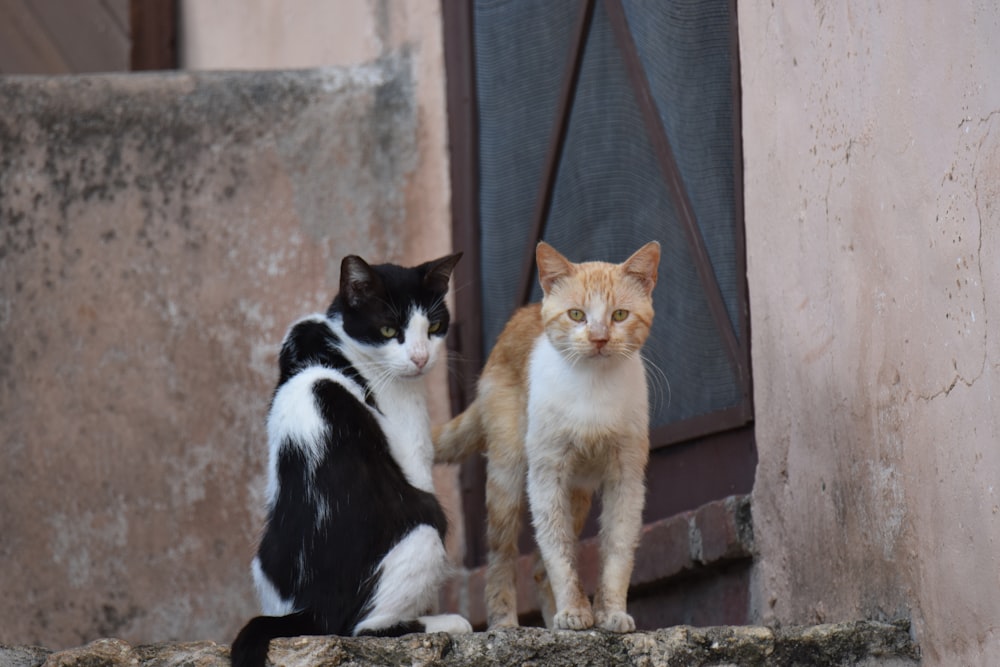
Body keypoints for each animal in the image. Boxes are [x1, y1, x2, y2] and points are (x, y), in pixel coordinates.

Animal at [230, 252, 472, 667]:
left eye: (435, 326)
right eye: (389, 329)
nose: (421, 358)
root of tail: (315, 609)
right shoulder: (412, 447)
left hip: (262, 562)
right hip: (424, 529)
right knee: (361, 629)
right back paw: (446, 622)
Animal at [436, 240, 656, 632]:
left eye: (619, 315)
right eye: (576, 315)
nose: (599, 338)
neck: (593, 389)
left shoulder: (627, 477)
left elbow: (617, 550)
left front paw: (610, 613)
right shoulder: (546, 474)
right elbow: (559, 552)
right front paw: (574, 611)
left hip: (578, 494)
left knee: (538, 568)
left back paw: (557, 622)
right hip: (508, 480)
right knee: (502, 555)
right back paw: (504, 625)